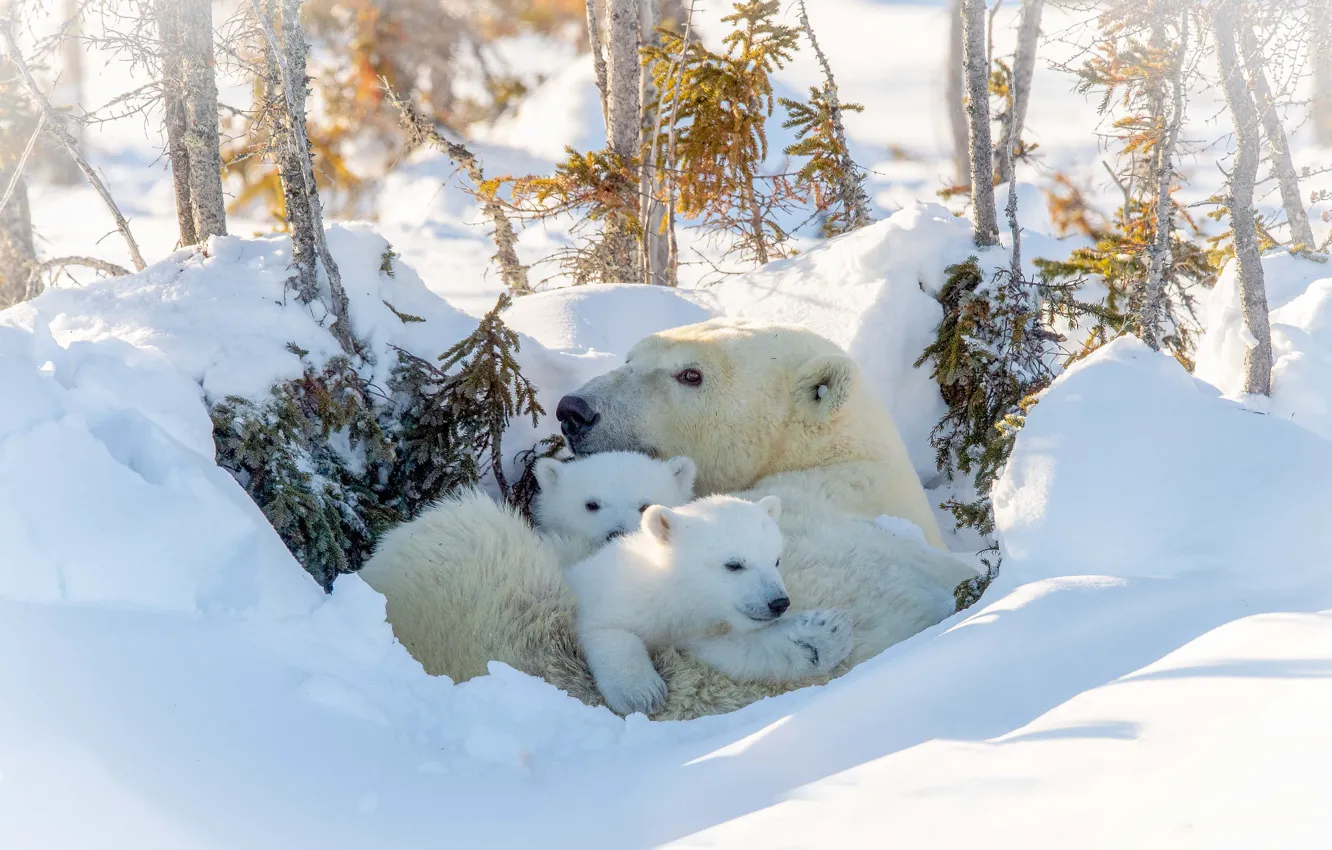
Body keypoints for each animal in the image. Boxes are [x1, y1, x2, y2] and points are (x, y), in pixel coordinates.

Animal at [567, 495, 847, 714]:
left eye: (776, 560)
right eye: (734, 564)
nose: (778, 603)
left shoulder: (699, 630)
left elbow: (729, 652)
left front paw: (820, 636)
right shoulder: (621, 593)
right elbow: (604, 627)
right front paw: (642, 692)